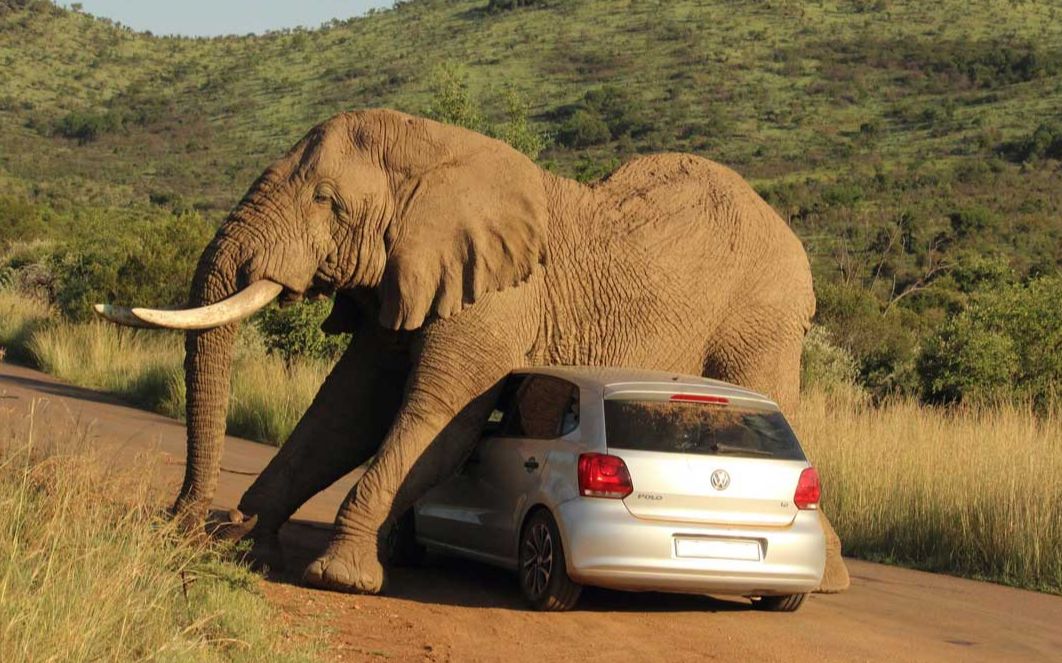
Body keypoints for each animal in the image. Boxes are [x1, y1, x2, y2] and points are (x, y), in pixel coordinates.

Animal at [95, 108, 849, 595]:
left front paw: (339, 575)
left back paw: (830, 577)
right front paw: (250, 543)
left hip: (762, 314)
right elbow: (345, 413)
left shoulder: (498, 297)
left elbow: (438, 418)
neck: (438, 152)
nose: (182, 522)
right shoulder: (408, 274)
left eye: (327, 201)